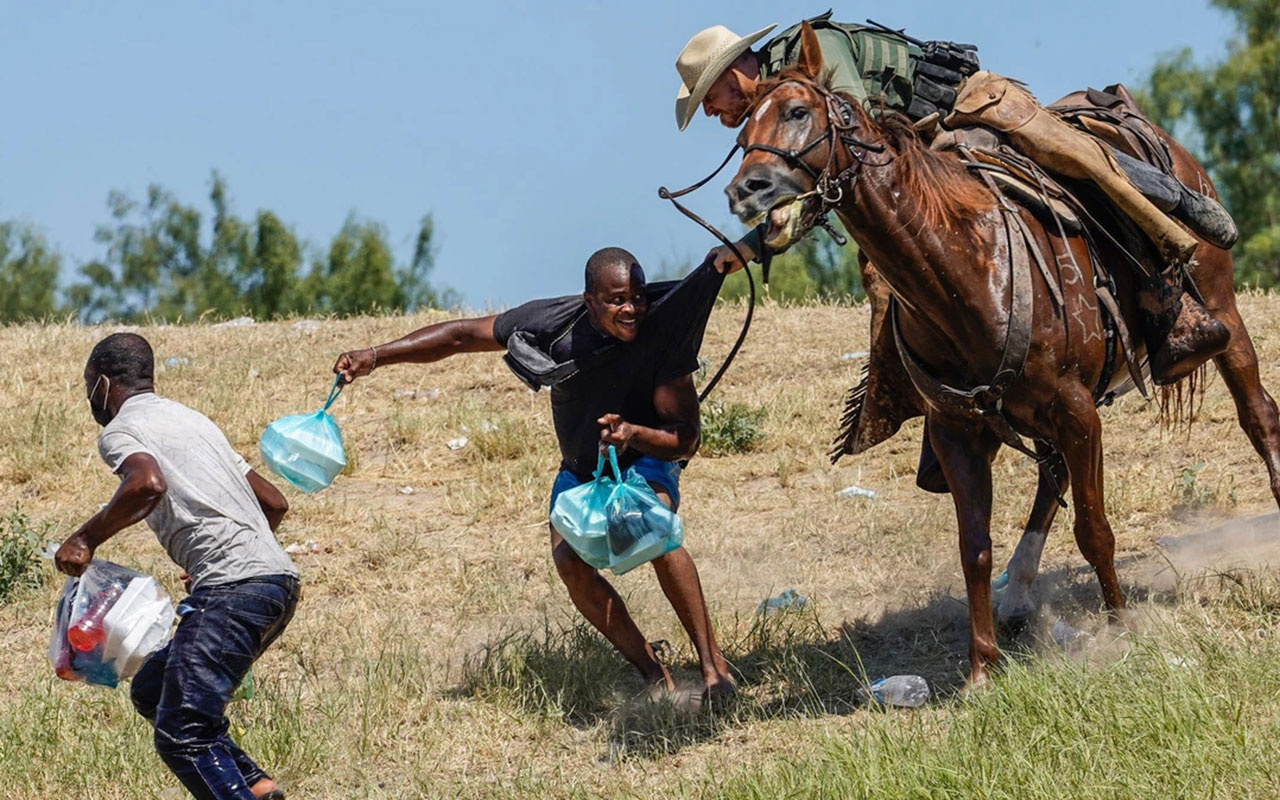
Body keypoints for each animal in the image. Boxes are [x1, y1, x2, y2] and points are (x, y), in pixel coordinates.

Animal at [727, 24, 1280, 686]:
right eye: (741, 135)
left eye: (797, 111)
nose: (746, 190)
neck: (964, 266)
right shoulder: (960, 430)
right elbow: (975, 548)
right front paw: (981, 668)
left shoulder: (1075, 409)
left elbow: (1094, 529)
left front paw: (1121, 628)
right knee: (1051, 476)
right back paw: (1017, 594)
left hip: (1221, 310)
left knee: (1259, 416)